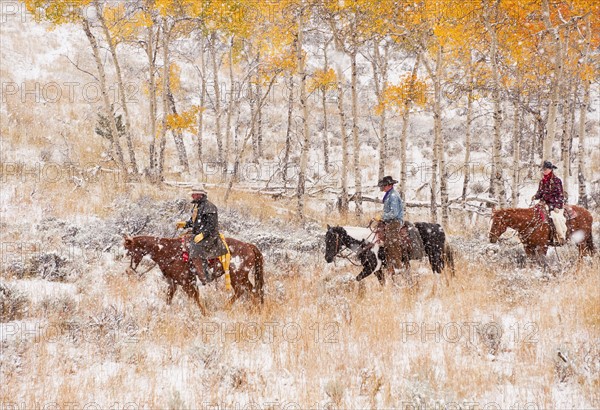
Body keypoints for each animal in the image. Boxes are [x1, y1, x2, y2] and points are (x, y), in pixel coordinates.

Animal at [123, 234, 264, 314]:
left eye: (129, 251)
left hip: (236, 276)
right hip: (242, 277)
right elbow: (169, 298)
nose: (128, 271)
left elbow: (195, 297)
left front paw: (204, 313)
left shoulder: (186, 282)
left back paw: (226, 307)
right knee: (253, 290)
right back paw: (256, 310)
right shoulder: (173, 282)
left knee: (242, 291)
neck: (168, 252)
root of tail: (249, 246)